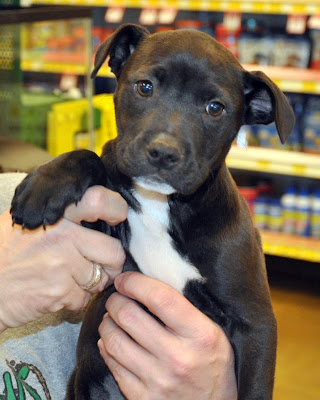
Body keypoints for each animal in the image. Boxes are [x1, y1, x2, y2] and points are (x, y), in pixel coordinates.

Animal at [10, 25, 296, 400]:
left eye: (215, 108)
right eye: (144, 87)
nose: (163, 152)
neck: (164, 205)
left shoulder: (255, 323)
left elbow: (255, 389)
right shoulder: (102, 230)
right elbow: (93, 156)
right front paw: (44, 186)